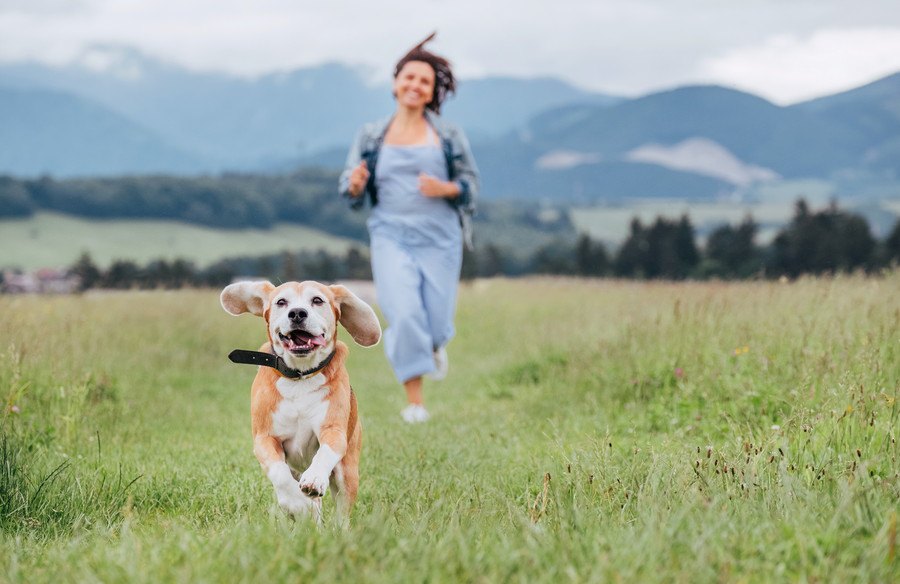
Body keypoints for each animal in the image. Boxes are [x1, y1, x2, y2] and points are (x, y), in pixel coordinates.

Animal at [224, 280, 384, 524]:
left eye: (317, 300)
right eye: (281, 302)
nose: (297, 313)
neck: (299, 376)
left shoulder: (334, 431)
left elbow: (325, 452)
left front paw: (315, 479)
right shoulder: (264, 438)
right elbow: (280, 474)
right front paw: (297, 504)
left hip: (348, 471)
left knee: (342, 511)